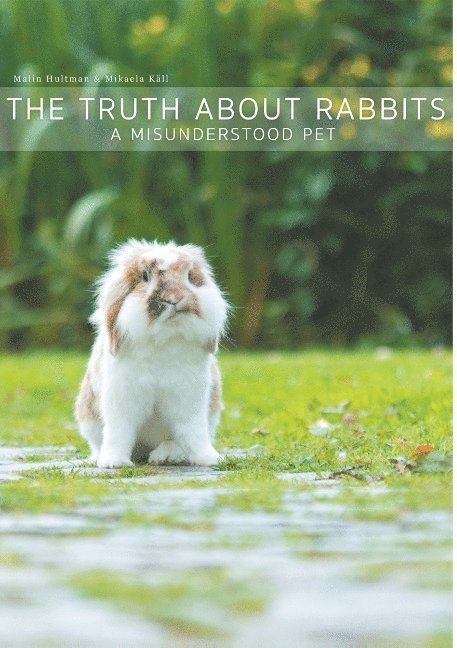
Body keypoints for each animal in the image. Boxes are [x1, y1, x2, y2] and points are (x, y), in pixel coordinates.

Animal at [75, 239, 229, 468]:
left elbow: (193, 431)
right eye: (146, 276)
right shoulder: (120, 397)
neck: (164, 339)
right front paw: (113, 462)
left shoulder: (189, 399)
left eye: (190, 276)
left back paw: (165, 456)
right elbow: (119, 431)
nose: (174, 299)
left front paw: (209, 458)